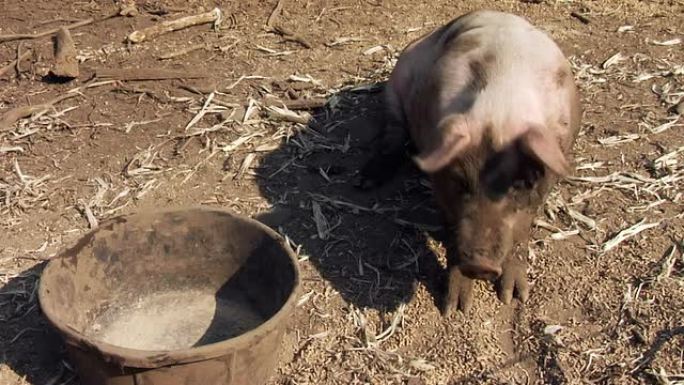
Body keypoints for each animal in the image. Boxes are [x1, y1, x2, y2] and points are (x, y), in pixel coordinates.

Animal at [360, 10, 580, 314]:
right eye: (460, 182)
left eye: (521, 184)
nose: (481, 266)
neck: (500, 108)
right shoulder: (440, 180)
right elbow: (451, 227)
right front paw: (455, 308)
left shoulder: (544, 182)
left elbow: (521, 231)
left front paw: (513, 297)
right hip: (395, 84)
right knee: (393, 132)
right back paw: (366, 181)